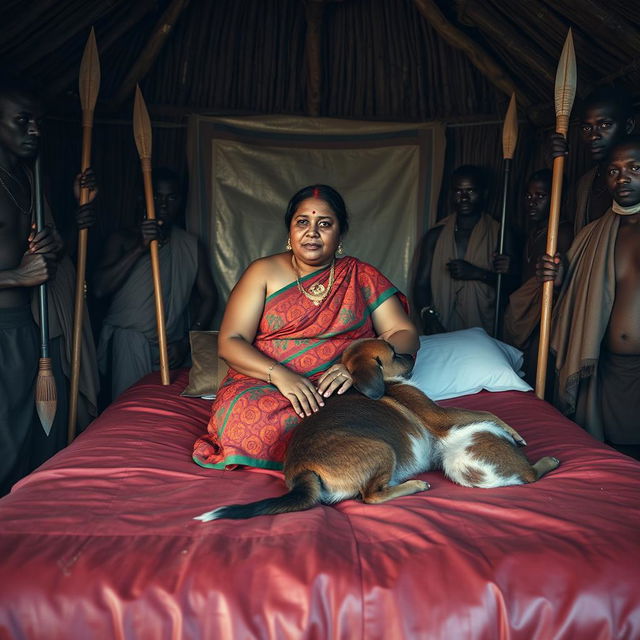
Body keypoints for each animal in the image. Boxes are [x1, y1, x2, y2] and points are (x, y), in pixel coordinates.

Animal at [196, 338, 560, 524]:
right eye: (395, 354)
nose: (413, 351)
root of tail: (301, 471)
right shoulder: (439, 414)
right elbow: (486, 411)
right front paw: (514, 433)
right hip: (382, 450)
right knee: (371, 497)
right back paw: (415, 485)